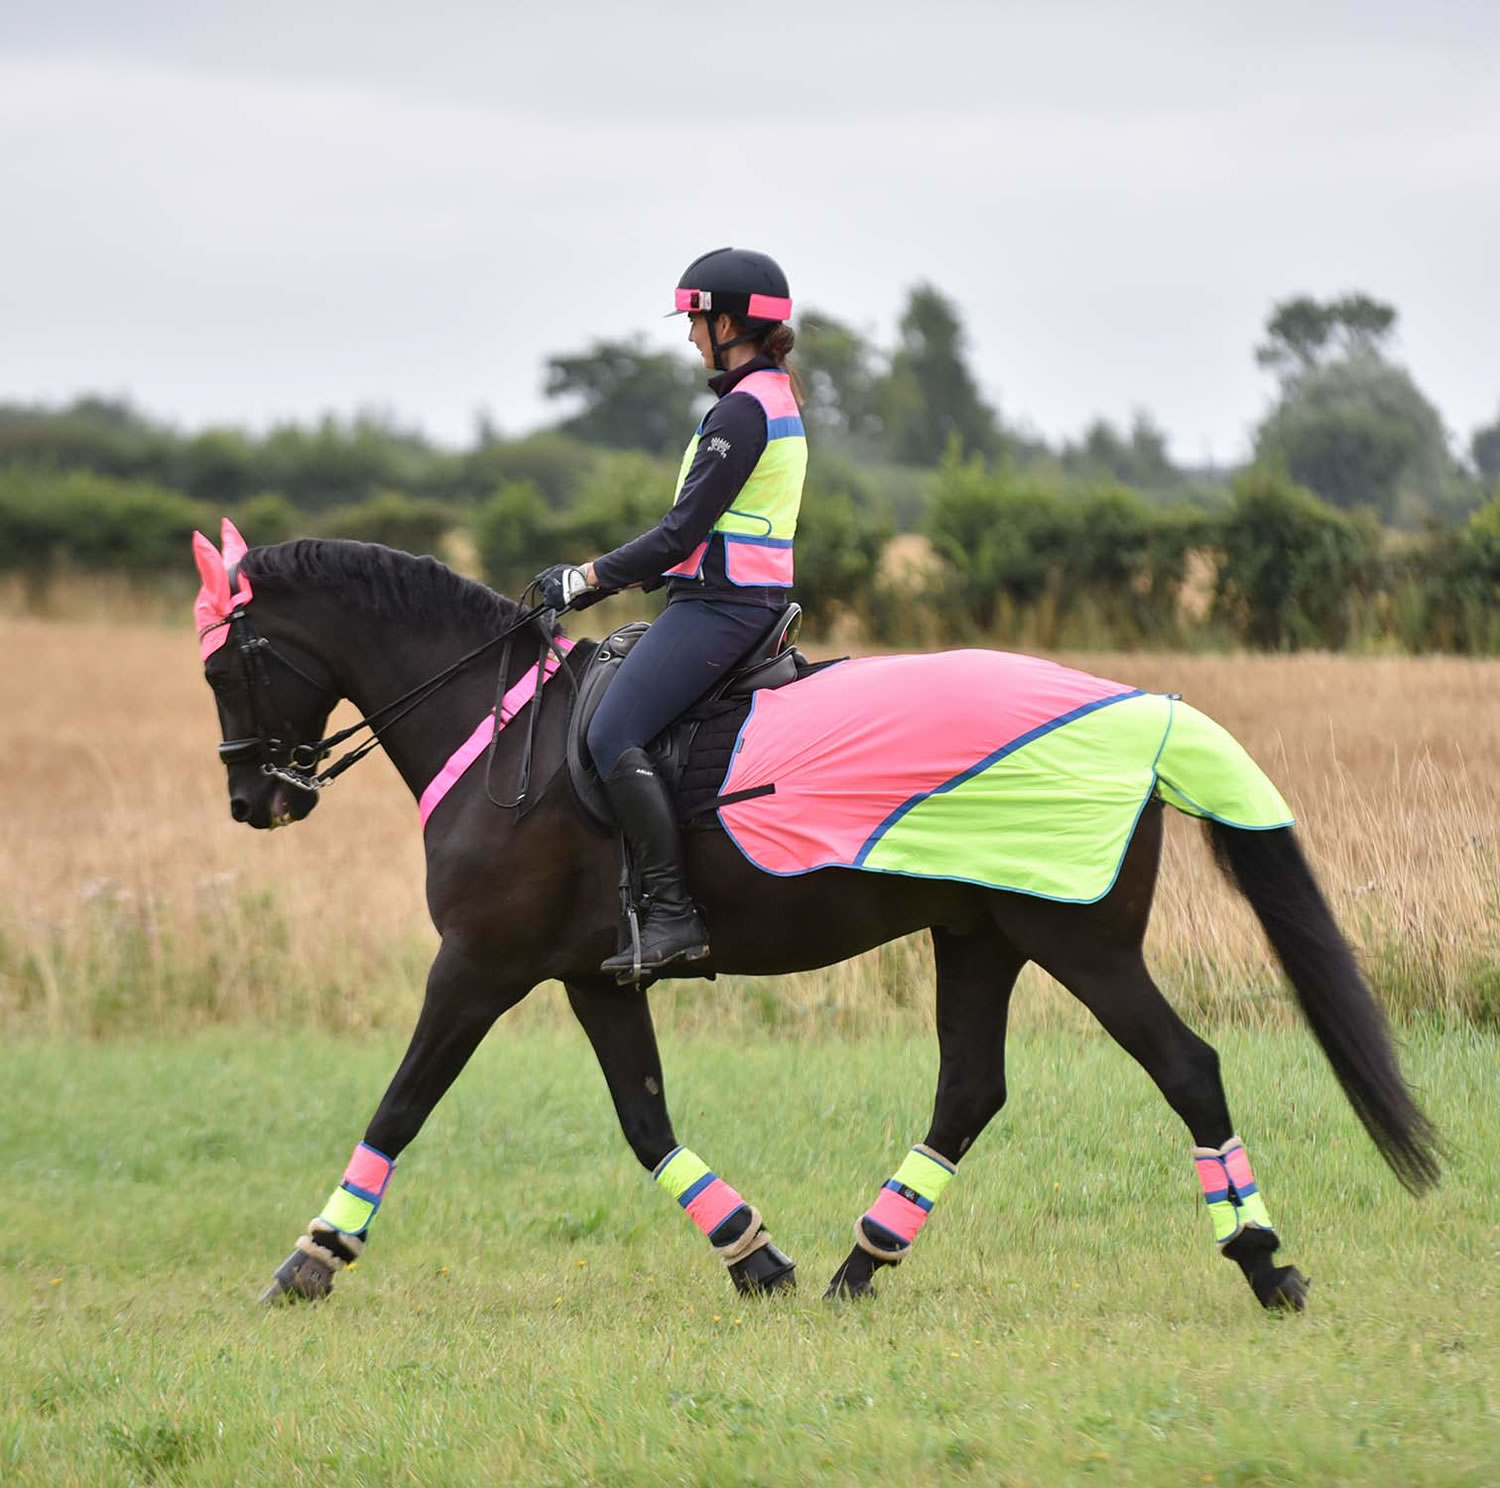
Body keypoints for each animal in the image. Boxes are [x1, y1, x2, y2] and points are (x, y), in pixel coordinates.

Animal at [193, 537, 1434, 1314]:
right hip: (980, 937)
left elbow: (400, 1105)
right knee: (969, 1092)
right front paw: (754, 1257)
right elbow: (645, 1122)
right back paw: (858, 1266)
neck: (507, 732)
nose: (255, 800)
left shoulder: (479, 964)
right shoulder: (593, 976)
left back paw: (1265, 1263)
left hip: (1078, 941)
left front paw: (312, 1258)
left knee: (1187, 1069)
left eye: (226, 664)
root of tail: (1145, 714)